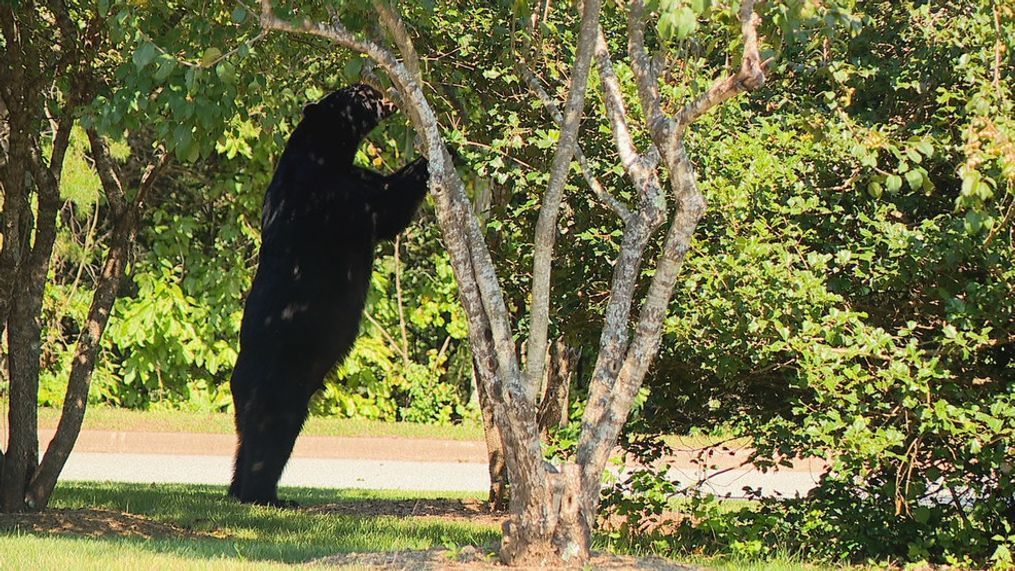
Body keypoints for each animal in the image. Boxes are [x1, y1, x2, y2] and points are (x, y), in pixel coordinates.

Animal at [228, 84, 430, 506]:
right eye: (356, 94)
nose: (375, 88)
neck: (322, 154)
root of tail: (237, 379)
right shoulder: (330, 197)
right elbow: (384, 210)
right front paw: (430, 159)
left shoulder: (352, 175)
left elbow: (381, 194)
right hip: (282, 375)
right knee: (272, 433)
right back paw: (264, 494)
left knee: (247, 438)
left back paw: (240, 489)